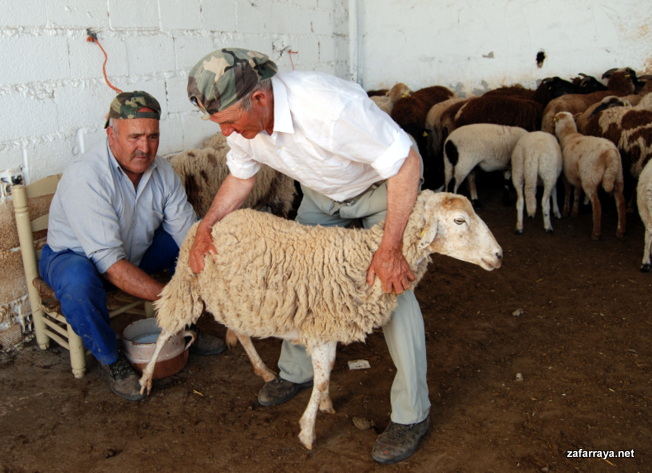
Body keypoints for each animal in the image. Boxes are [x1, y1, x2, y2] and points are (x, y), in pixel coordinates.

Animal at [139, 190, 503, 450]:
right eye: (459, 221)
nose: (499, 256)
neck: (364, 259)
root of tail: (211, 218)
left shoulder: (327, 330)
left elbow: (325, 374)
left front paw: (323, 406)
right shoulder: (321, 332)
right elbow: (324, 378)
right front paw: (308, 432)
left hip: (237, 299)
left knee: (241, 334)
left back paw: (263, 371)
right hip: (188, 282)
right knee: (166, 330)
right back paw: (146, 379)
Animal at [554, 111, 626, 240]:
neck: (569, 135)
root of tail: (610, 153)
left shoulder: (566, 176)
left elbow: (568, 192)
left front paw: (566, 211)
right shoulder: (577, 177)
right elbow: (577, 193)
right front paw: (574, 211)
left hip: (589, 179)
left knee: (597, 205)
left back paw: (596, 233)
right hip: (618, 177)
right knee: (621, 203)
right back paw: (620, 231)